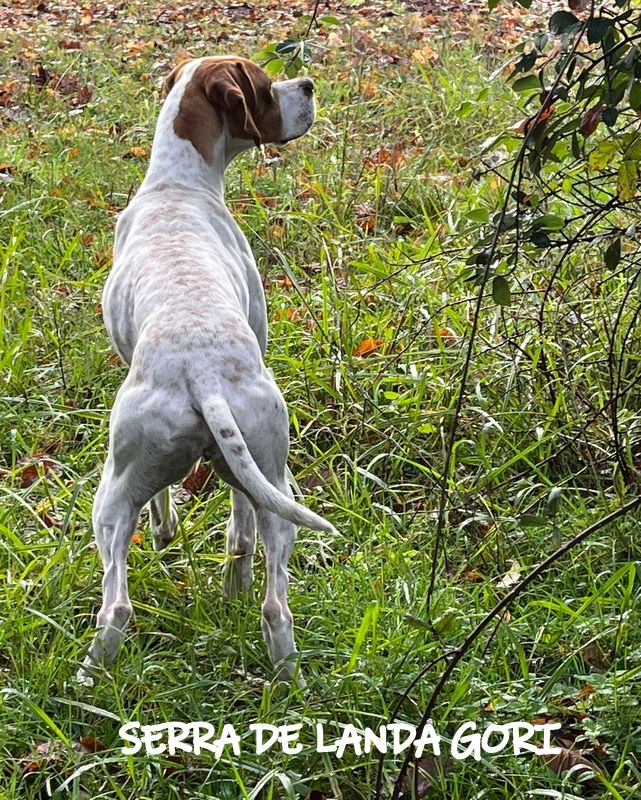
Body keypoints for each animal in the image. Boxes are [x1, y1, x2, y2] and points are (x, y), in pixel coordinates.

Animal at [80, 54, 336, 680]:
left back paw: (88, 677)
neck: (178, 185)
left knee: (115, 604)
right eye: (267, 86)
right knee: (274, 603)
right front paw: (231, 580)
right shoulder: (251, 478)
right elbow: (238, 533)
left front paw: (166, 531)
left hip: (111, 494)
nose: (309, 84)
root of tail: (204, 376)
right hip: (277, 484)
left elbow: (164, 506)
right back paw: (287, 678)